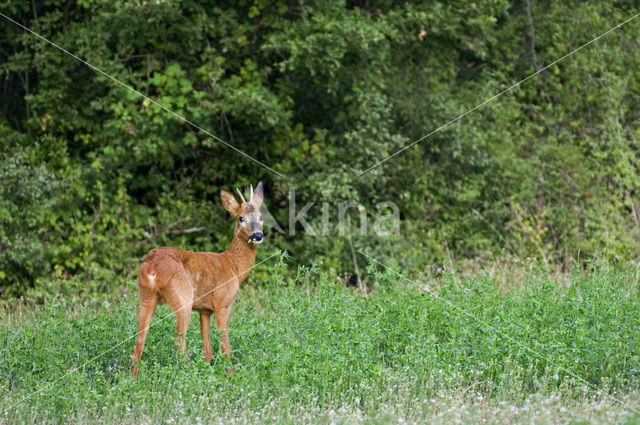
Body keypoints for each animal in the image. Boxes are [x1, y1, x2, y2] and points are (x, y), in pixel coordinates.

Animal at [131, 181, 264, 376]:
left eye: (261, 217)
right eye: (241, 218)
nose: (257, 235)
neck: (234, 266)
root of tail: (152, 267)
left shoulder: (204, 310)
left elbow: (207, 349)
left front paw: (209, 370)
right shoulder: (222, 303)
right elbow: (225, 346)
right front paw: (230, 376)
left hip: (146, 297)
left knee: (139, 342)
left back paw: (134, 379)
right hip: (183, 298)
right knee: (178, 343)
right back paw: (190, 373)